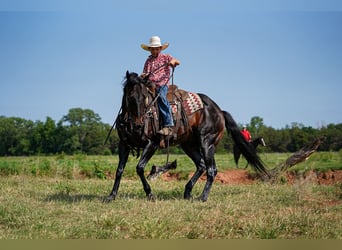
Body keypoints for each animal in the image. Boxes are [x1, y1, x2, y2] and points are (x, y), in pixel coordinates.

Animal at [104, 71, 270, 202]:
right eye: (131, 97)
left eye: (145, 96)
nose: (138, 125)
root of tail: (219, 111)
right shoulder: (124, 145)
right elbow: (119, 170)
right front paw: (111, 196)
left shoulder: (152, 144)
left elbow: (139, 167)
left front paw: (150, 194)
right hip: (189, 146)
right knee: (202, 165)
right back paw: (187, 192)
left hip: (207, 143)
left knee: (211, 170)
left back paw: (202, 197)